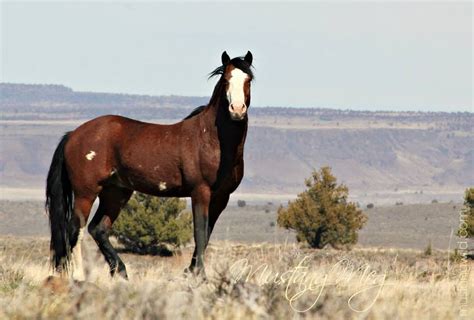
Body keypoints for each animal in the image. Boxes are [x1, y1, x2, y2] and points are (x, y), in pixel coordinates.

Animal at [47, 50, 256, 278]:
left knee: (98, 228)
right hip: (86, 192)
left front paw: (191, 272)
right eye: (226, 80)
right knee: (76, 228)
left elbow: (207, 234)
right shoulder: (200, 191)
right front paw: (199, 275)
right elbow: (200, 232)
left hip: (116, 192)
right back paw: (78, 275)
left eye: (249, 80)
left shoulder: (221, 197)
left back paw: (121, 272)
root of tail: (73, 134)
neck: (211, 139)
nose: (237, 110)